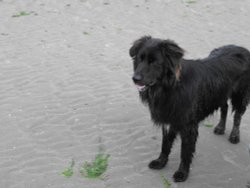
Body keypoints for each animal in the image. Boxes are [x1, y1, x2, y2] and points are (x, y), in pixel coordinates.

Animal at [129, 36, 250, 182]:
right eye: (139, 59)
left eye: (154, 62)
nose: (135, 79)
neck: (170, 87)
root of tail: (242, 48)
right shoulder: (168, 120)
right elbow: (165, 144)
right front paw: (161, 162)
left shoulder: (188, 126)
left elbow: (185, 152)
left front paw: (182, 173)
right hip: (220, 92)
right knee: (225, 107)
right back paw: (220, 128)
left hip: (240, 95)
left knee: (238, 116)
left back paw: (234, 136)